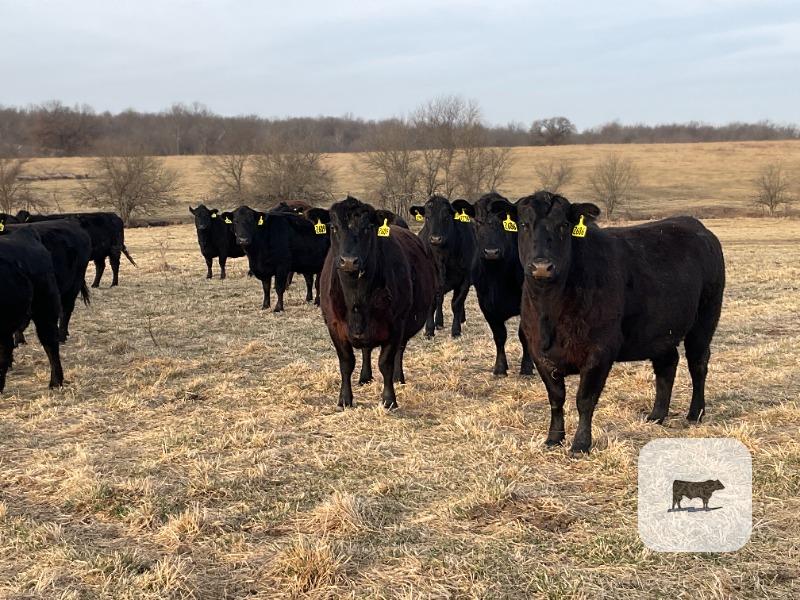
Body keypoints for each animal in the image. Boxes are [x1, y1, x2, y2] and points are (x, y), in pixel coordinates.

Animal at [314, 196, 437, 410]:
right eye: (334, 227)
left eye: (367, 228)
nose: (349, 261)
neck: (356, 297)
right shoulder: (334, 325)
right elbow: (346, 363)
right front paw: (345, 399)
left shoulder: (396, 324)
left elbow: (386, 362)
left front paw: (389, 399)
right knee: (366, 350)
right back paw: (365, 377)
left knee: (399, 351)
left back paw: (398, 377)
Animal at [409, 195, 476, 337]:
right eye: (427, 217)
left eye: (446, 217)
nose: (435, 239)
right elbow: (432, 304)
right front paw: (429, 330)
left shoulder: (465, 279)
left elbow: (457, 303)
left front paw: (456, 330)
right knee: (439, 300)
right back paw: (438, 322)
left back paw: (461, 320)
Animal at [453, 193, 534, 377]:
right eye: (477, 222)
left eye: (503, 222)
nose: (491, 252)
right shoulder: (486, 303)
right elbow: (499, 335)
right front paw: (500, 367)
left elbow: (523, 334)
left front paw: (526, 367)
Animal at [507, 191, 725, 453]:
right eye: (523, 224)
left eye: (563, 225)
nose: (542, 266)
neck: (549, 311)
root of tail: (695, 225)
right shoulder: (539, 352)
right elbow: (556, 398)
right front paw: (553, 438)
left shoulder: (600, 351)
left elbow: (584, 400)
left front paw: (580, 444)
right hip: (659, 331)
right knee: (667, 364)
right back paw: (656, 415)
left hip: (705, 320)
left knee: (698, 363)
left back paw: (695, 414)